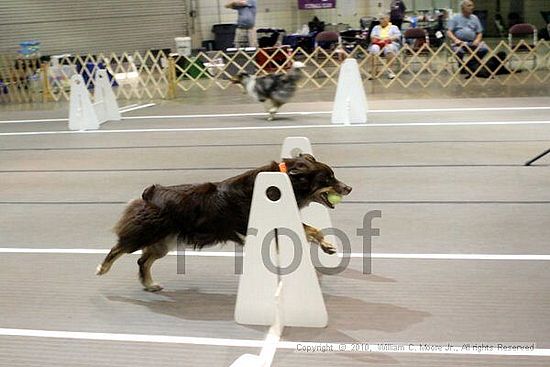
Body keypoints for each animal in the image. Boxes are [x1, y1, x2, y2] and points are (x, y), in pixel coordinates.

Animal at [96, 155, 352, 294]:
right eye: (327, 179)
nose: (349, 188)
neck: (285, 181)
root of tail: (151, 192)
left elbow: (310, 229)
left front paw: (327, 246)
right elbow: (309, 229)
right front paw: (327, 246)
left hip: (163, 242)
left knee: (142, 261)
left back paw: (149, 285)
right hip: (147, 233)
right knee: (120, 247)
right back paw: (103, 268)